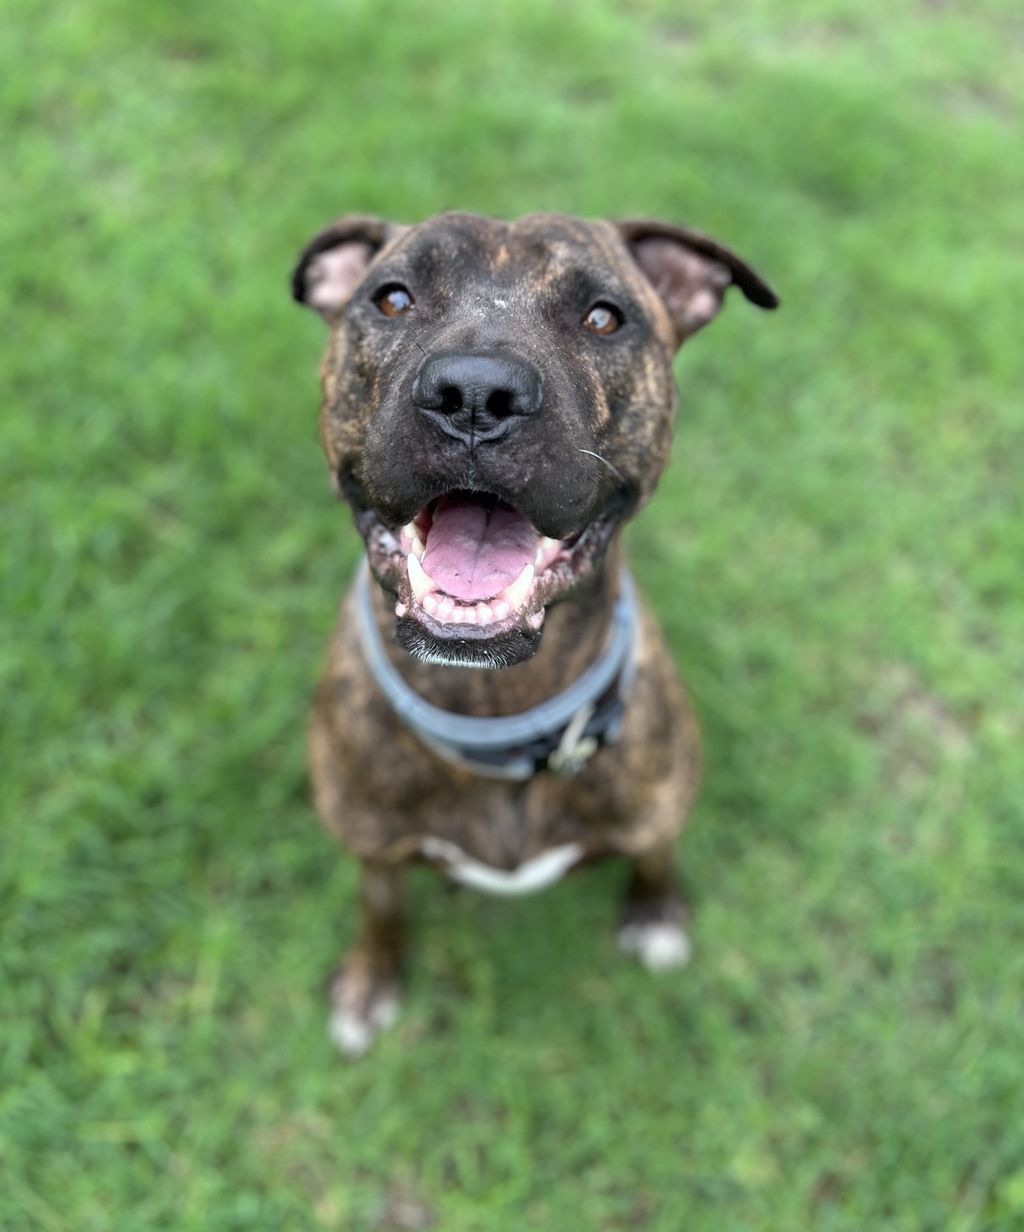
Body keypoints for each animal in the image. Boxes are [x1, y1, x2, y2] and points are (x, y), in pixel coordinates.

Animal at [288, 206, 778, 1054]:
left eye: (605, 317)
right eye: (392, 298)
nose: (475, 393)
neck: (497, 707)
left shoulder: (658, 810)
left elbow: (655, 853)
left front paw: (656, 913)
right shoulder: (373, 847)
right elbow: (381, 905)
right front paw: (371, 980)